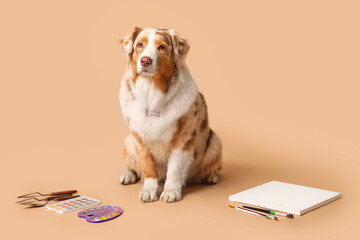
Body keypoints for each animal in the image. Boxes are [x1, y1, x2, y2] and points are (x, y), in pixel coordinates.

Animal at [118, 26, 222, 202]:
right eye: (140, 44)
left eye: (162, 47)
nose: (145, 61)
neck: (152, 94)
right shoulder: (139, 139)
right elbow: (147, 167)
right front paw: (149, 191)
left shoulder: (182, 140)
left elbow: (174, 169)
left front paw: (170, 191)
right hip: (128, 142)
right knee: (134, 168)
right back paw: (128, 175)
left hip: (215, 141)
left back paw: (210, 177)